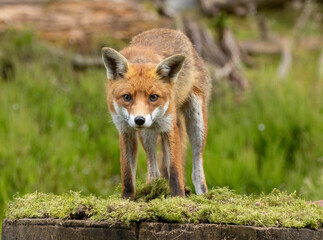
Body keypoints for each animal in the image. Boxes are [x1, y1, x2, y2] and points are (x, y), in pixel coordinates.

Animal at [102, 28, 213, 199]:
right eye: (127, 97)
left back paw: (202, 195)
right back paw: (152, 190)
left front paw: (178, 197)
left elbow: (174, 171)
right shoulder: (125, 130)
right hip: (148, 134)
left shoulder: (169, 127)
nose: (139, 120)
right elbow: (127, 174)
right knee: (154, 171)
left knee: (197, 170)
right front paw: (126, 199)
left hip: (197, 122)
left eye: (153, 97)